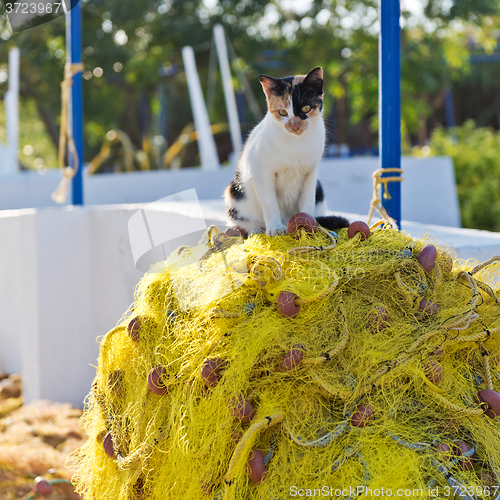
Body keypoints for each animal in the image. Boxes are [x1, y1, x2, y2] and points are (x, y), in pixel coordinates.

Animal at [225, 66, 350, 236]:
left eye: (306, 108)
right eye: (283, 112)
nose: (294, 126)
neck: (295, 144)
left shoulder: (310, 174)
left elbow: (307, 201)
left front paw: (310, 228)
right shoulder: (260, 173)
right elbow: (270, 204)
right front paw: (275, 228)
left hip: (319, 189)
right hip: (234, 194)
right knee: (246, 222)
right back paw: (256, 231)